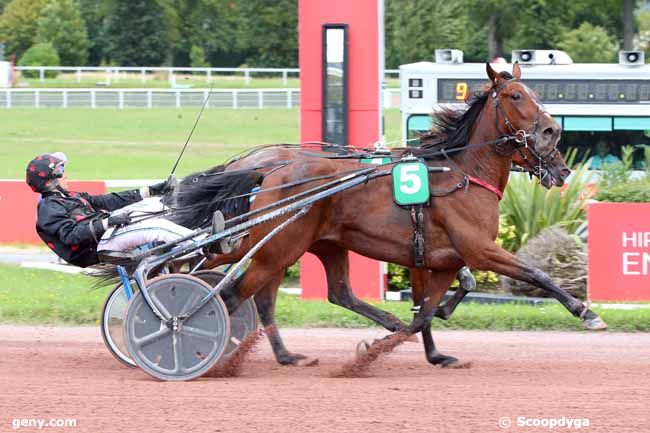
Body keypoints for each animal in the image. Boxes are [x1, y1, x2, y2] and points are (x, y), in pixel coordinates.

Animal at [184, 62, 608, 366]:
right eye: (517, 95)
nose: (553, 133)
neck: (461, 172)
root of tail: (267, 170)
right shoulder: (478, 249)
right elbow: (536, 273)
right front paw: (586, 312)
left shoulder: (441, 260)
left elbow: (426, 310)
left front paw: (417, 347)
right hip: (278, 246)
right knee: (235, 293)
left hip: (310, 244)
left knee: (319, 292)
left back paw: (285, 354)